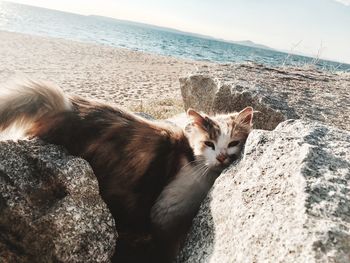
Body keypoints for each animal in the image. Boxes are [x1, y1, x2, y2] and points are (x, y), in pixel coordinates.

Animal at [0, 79, 253, 263]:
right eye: (209, 144)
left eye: (233, 143)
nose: (222, 157)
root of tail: (67, 106)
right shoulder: (165, 214)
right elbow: (167, 248)